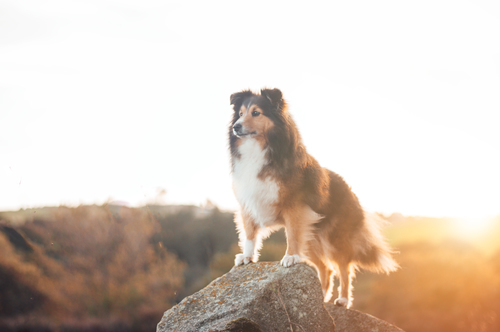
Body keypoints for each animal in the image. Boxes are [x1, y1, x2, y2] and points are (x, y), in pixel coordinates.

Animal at [228, 87, 398, 308]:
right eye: (240, 113)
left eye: (256, 113)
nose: (236, 127)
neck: (260, 148)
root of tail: (350, 190)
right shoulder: (248, 204)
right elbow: (249, 234)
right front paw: (247, 257)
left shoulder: (294, 207)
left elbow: (291, 236)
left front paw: (290, 257)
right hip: (310, 237)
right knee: (326, 268)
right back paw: (322, 299)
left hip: (334, 238)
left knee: (344, 268)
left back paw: (343, 299)